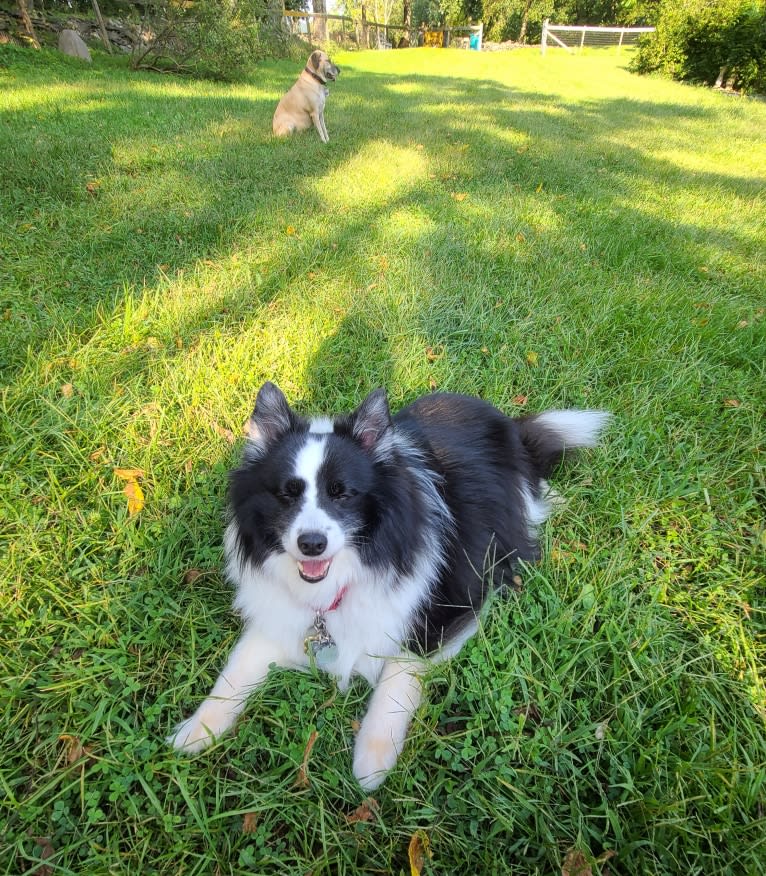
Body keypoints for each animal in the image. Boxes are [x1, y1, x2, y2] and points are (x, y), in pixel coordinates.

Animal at [170, 382, 612, 788]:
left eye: (342, 494)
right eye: (286, 494)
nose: (311, 544)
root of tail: (504, 419)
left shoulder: (447, 608)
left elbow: (398, 675)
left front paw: (373, 757)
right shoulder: (279, 617)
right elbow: (236, 669)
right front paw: (198, 728)